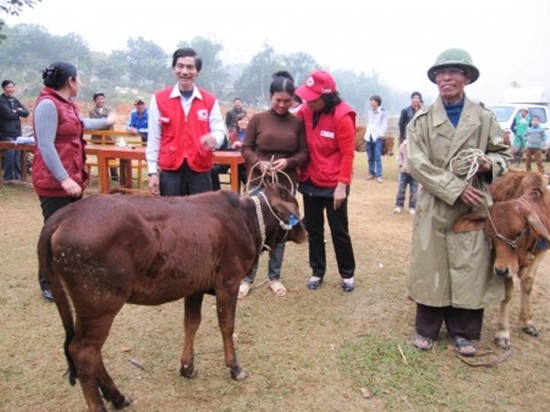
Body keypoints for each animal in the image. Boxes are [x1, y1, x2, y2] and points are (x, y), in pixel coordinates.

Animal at [37, 184, 310, 412]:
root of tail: (64, 214)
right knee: (83, 352)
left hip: (90, 308)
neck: (246, 220)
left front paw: (187, 367)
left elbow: (191, 323)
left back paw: (118, 397)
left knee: (89, 351)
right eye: (294, 206)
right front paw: (235, 368)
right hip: (100, 303)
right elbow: (227, 326)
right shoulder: (229, 282)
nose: (304, 232)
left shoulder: (195, 287)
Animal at [454, 172, 548, 350]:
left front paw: (528, 322)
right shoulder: (501, 262)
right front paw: (503, 333)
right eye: (490, 233)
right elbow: (507, 294)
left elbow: (527, 284)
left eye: (519, 232)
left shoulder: (539, 255)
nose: (500, 270)